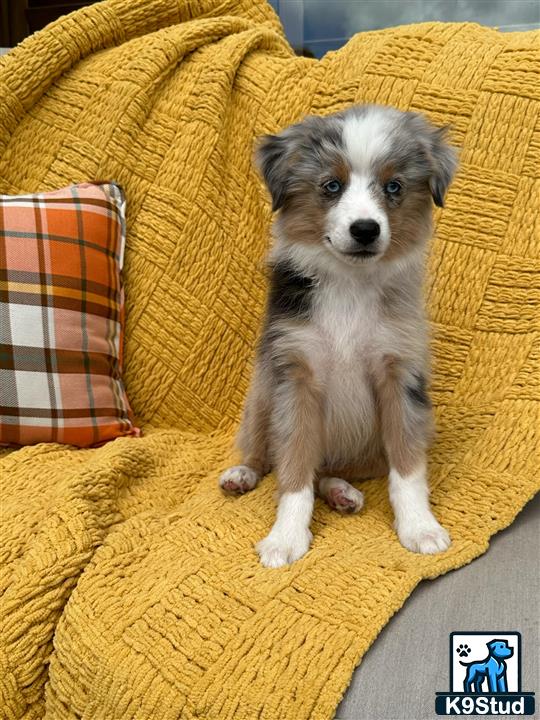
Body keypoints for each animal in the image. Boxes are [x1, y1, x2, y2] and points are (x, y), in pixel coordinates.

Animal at [217, 104, 458, 568]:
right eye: (332, 186)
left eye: (394, 187)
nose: (365, 230)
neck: (350, 284)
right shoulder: (296, 375)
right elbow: (293, 468)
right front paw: (285, 538)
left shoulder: (399, 374)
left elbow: (407, 467)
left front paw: (420, 527)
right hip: (260, 395)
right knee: (266, 453)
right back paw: (242, 474)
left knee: (326, 471)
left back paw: (342, 492)